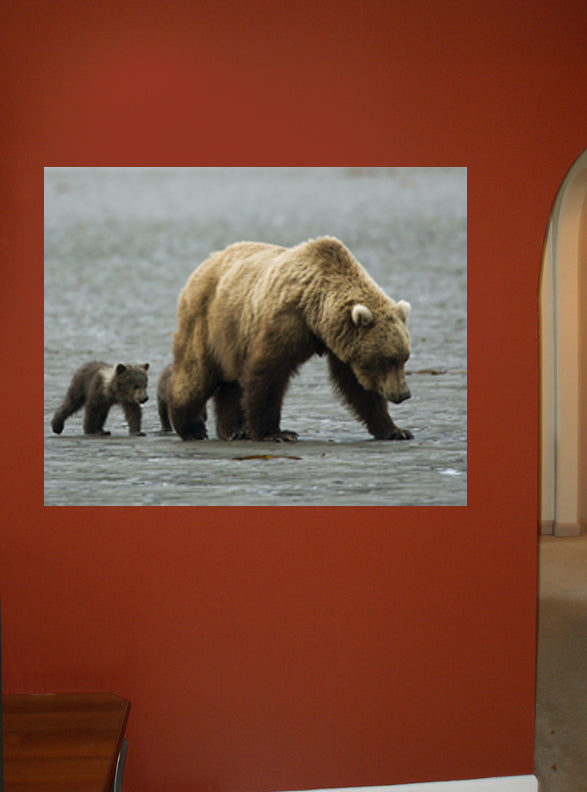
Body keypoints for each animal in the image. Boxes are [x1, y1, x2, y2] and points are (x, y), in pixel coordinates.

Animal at [168, 236, 413, 442]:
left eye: (404, 358)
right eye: (388, 360)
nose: (403, 394)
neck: (316, 313)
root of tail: (207, 262)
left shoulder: (340, 343)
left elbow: (356, 385)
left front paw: (395, 430)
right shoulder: (286, 321)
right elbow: (267, 372)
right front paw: (277, 433)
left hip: (233, 338)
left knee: (231, 382)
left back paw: (233, 430)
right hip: (209, 322)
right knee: (196, 373)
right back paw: (191, 427)